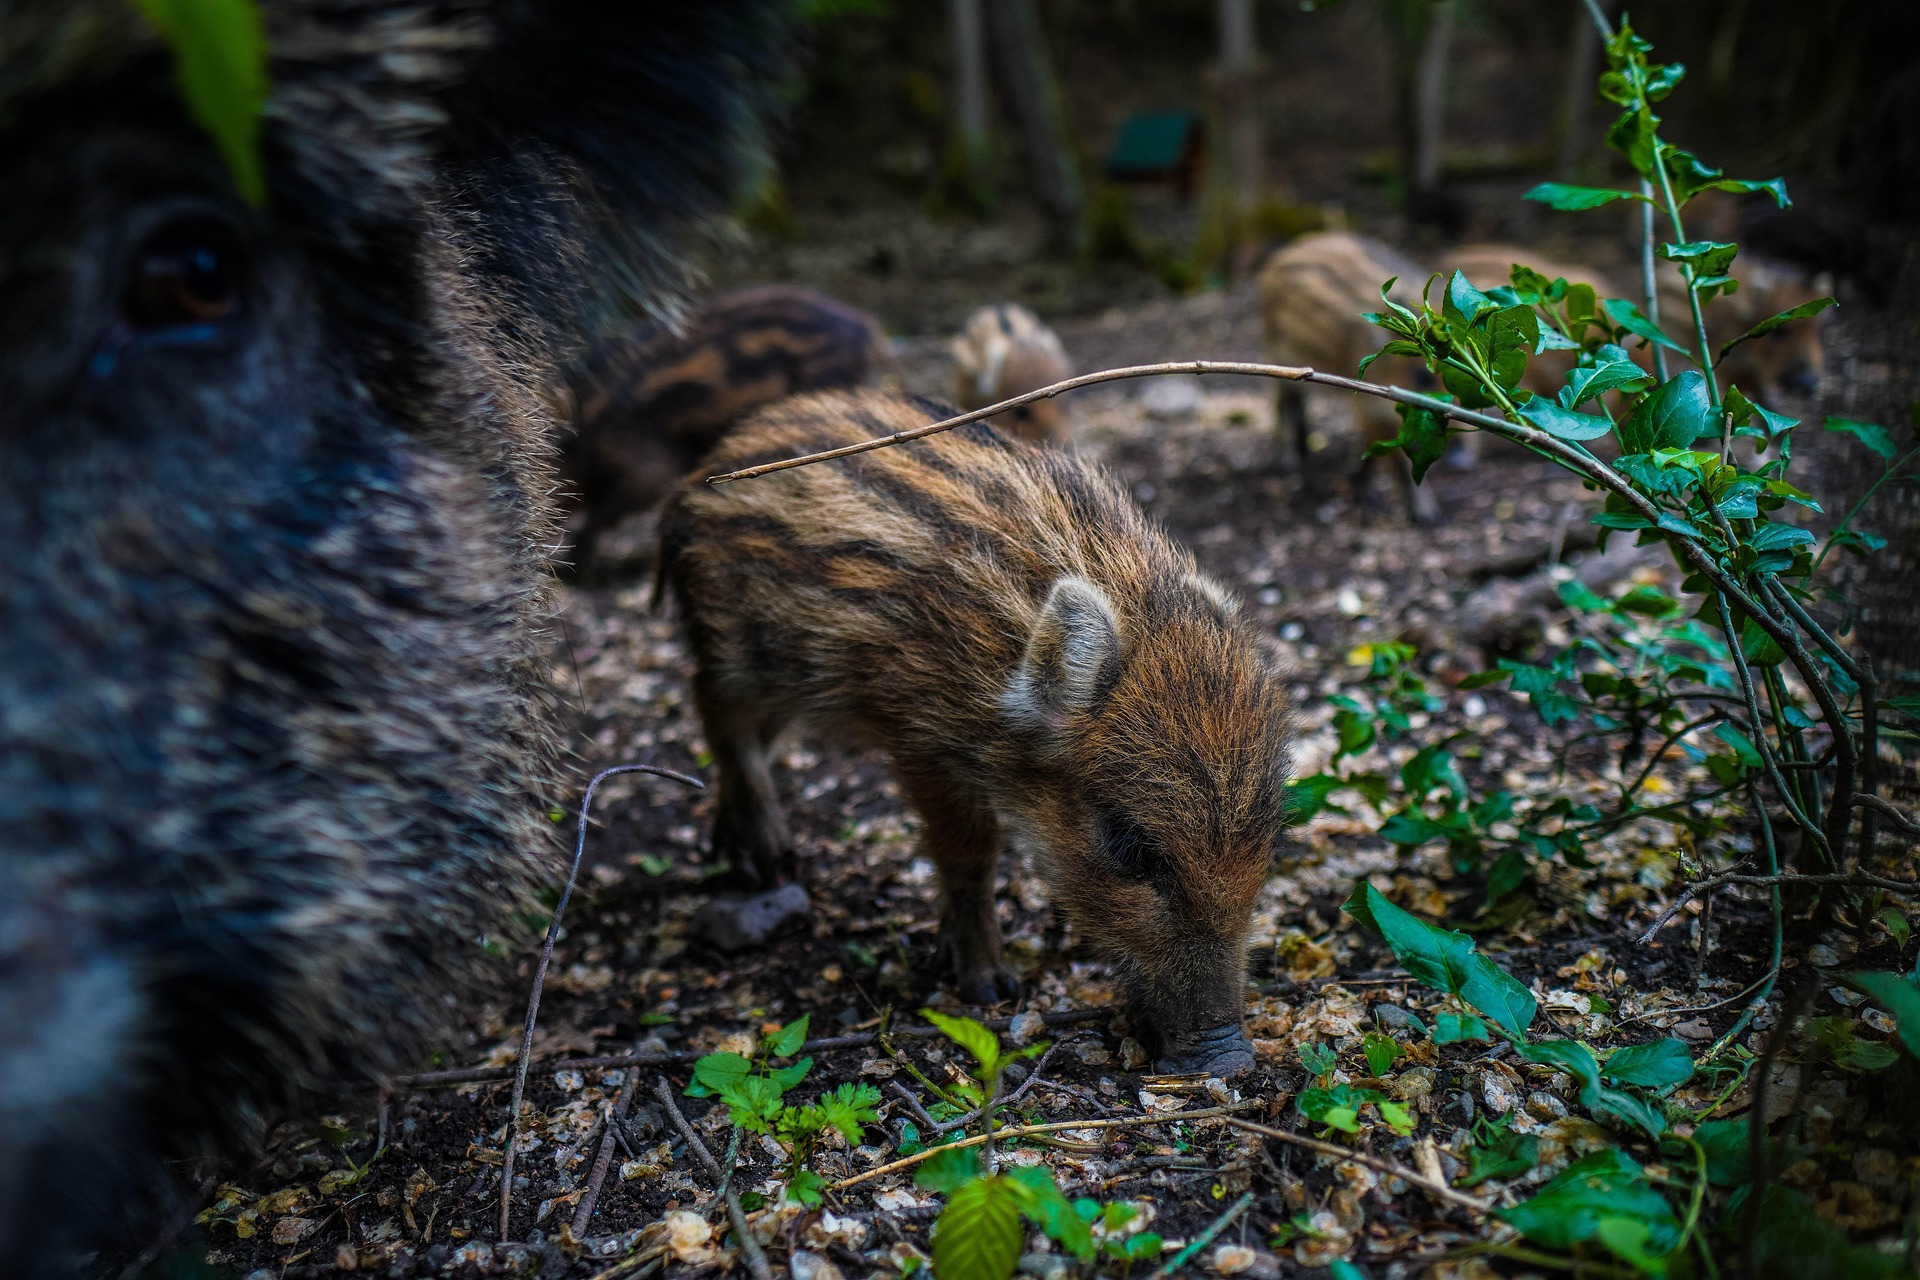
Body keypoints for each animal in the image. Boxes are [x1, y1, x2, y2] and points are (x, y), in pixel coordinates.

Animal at [659, 390, 1291, 1076]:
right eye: (1129, 846)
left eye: (1271, 843)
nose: (1229, 1059)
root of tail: (707, 467)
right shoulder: (920, 741)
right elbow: (969, 854)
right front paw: (989, 987)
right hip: (740, 650)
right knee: (715, 710)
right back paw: (771, 859)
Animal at [1256, 232, 1444, 523]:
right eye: (1421, 377)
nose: (1462, 460)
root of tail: (1282, 254)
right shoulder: (1368, 406)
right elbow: (1392, 456)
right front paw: (1424, 516)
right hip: (1278, 353)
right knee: (1285, 404)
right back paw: (1289, 464)